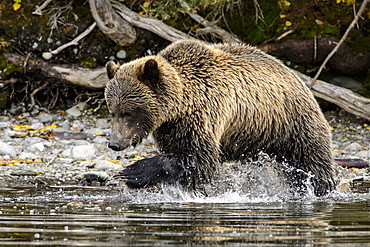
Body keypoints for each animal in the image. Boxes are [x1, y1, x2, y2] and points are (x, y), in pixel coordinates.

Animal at [104, 39, 336, 196]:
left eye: (128, 112)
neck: (178, 107)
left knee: (311, 163)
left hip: (292, 122)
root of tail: (300, 79)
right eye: (112, 111)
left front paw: (133, 172)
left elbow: (199, 159)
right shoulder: (171, 128)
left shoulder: (203, 113)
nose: (114, 143)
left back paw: (321, 189)